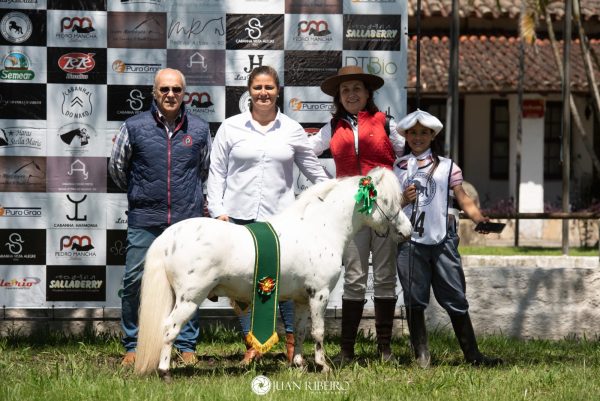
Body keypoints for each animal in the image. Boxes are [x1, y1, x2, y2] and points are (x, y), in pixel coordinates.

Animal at [134, 166, 410, 378]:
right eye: (387, 201)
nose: (406, 232)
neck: (318, 228)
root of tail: (170, 236)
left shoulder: (302, 299)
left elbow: (299, 331)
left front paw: (298, 365)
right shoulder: (319, 294)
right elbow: (318, 332)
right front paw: (323, 366)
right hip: (190, 299)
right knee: (168, 328)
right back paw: (165, 371)